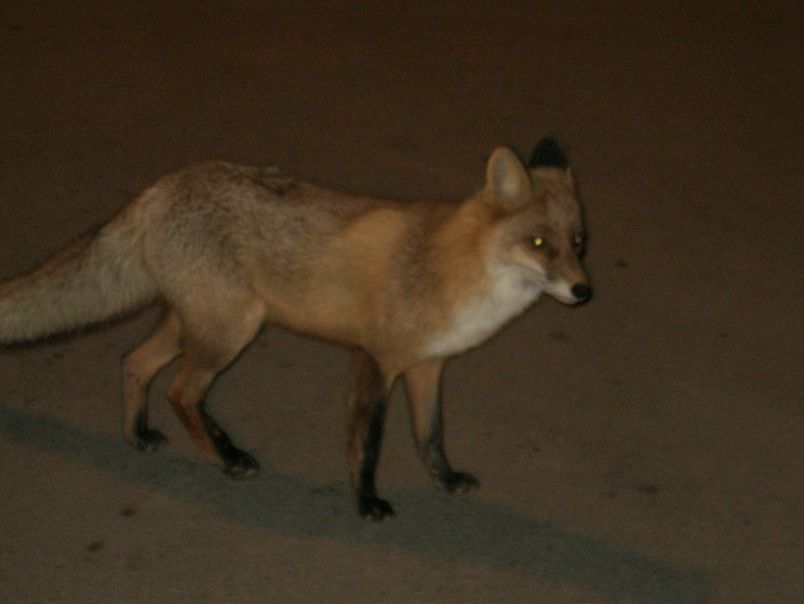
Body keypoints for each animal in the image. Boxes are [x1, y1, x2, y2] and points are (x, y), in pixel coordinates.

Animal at [0, 137, 591, 519]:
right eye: (540, 244)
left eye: (579, 242)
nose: (584, 292)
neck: (455, 269)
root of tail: (164, 185)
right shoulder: (375, 360)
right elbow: (367, 445)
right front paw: (366, 504)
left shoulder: (427, 367)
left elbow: (431, 436)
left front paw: (444, 481)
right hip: (230, 332)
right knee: (180, 391)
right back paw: (224, 460)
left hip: (199, 326)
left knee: (134, 363)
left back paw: (141, 436)